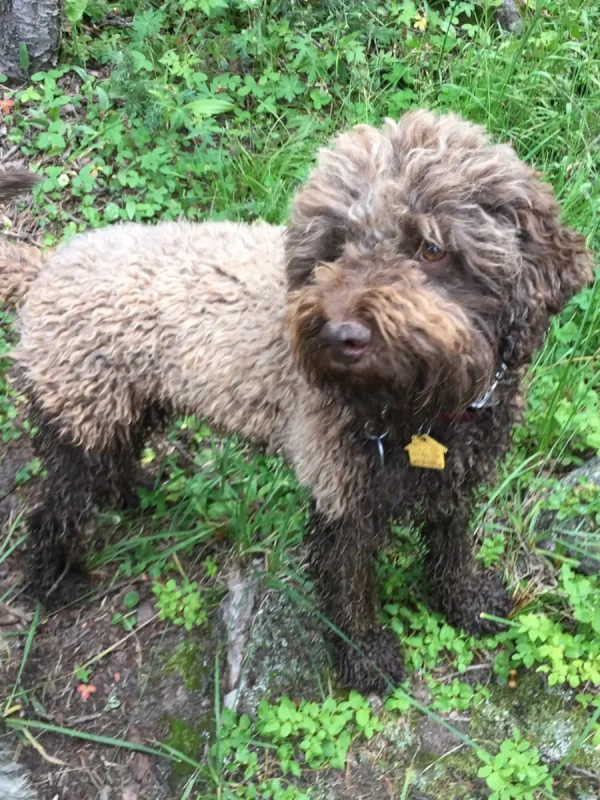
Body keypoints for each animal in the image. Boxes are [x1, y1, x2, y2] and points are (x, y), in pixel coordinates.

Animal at [0, 112, 592, 692]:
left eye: (432, 248)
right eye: (336, 245)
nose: (340, 334)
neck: (421, 405)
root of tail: (46, 268)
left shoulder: (455, 479)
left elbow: (453, 547)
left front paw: (465, 602)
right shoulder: (339, 493)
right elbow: (349, 585)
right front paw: (365, 656)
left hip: (128, 402)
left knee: (114, 462)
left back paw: (133, 492)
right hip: (81, 414)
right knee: (55, 507)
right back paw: (56, 580)